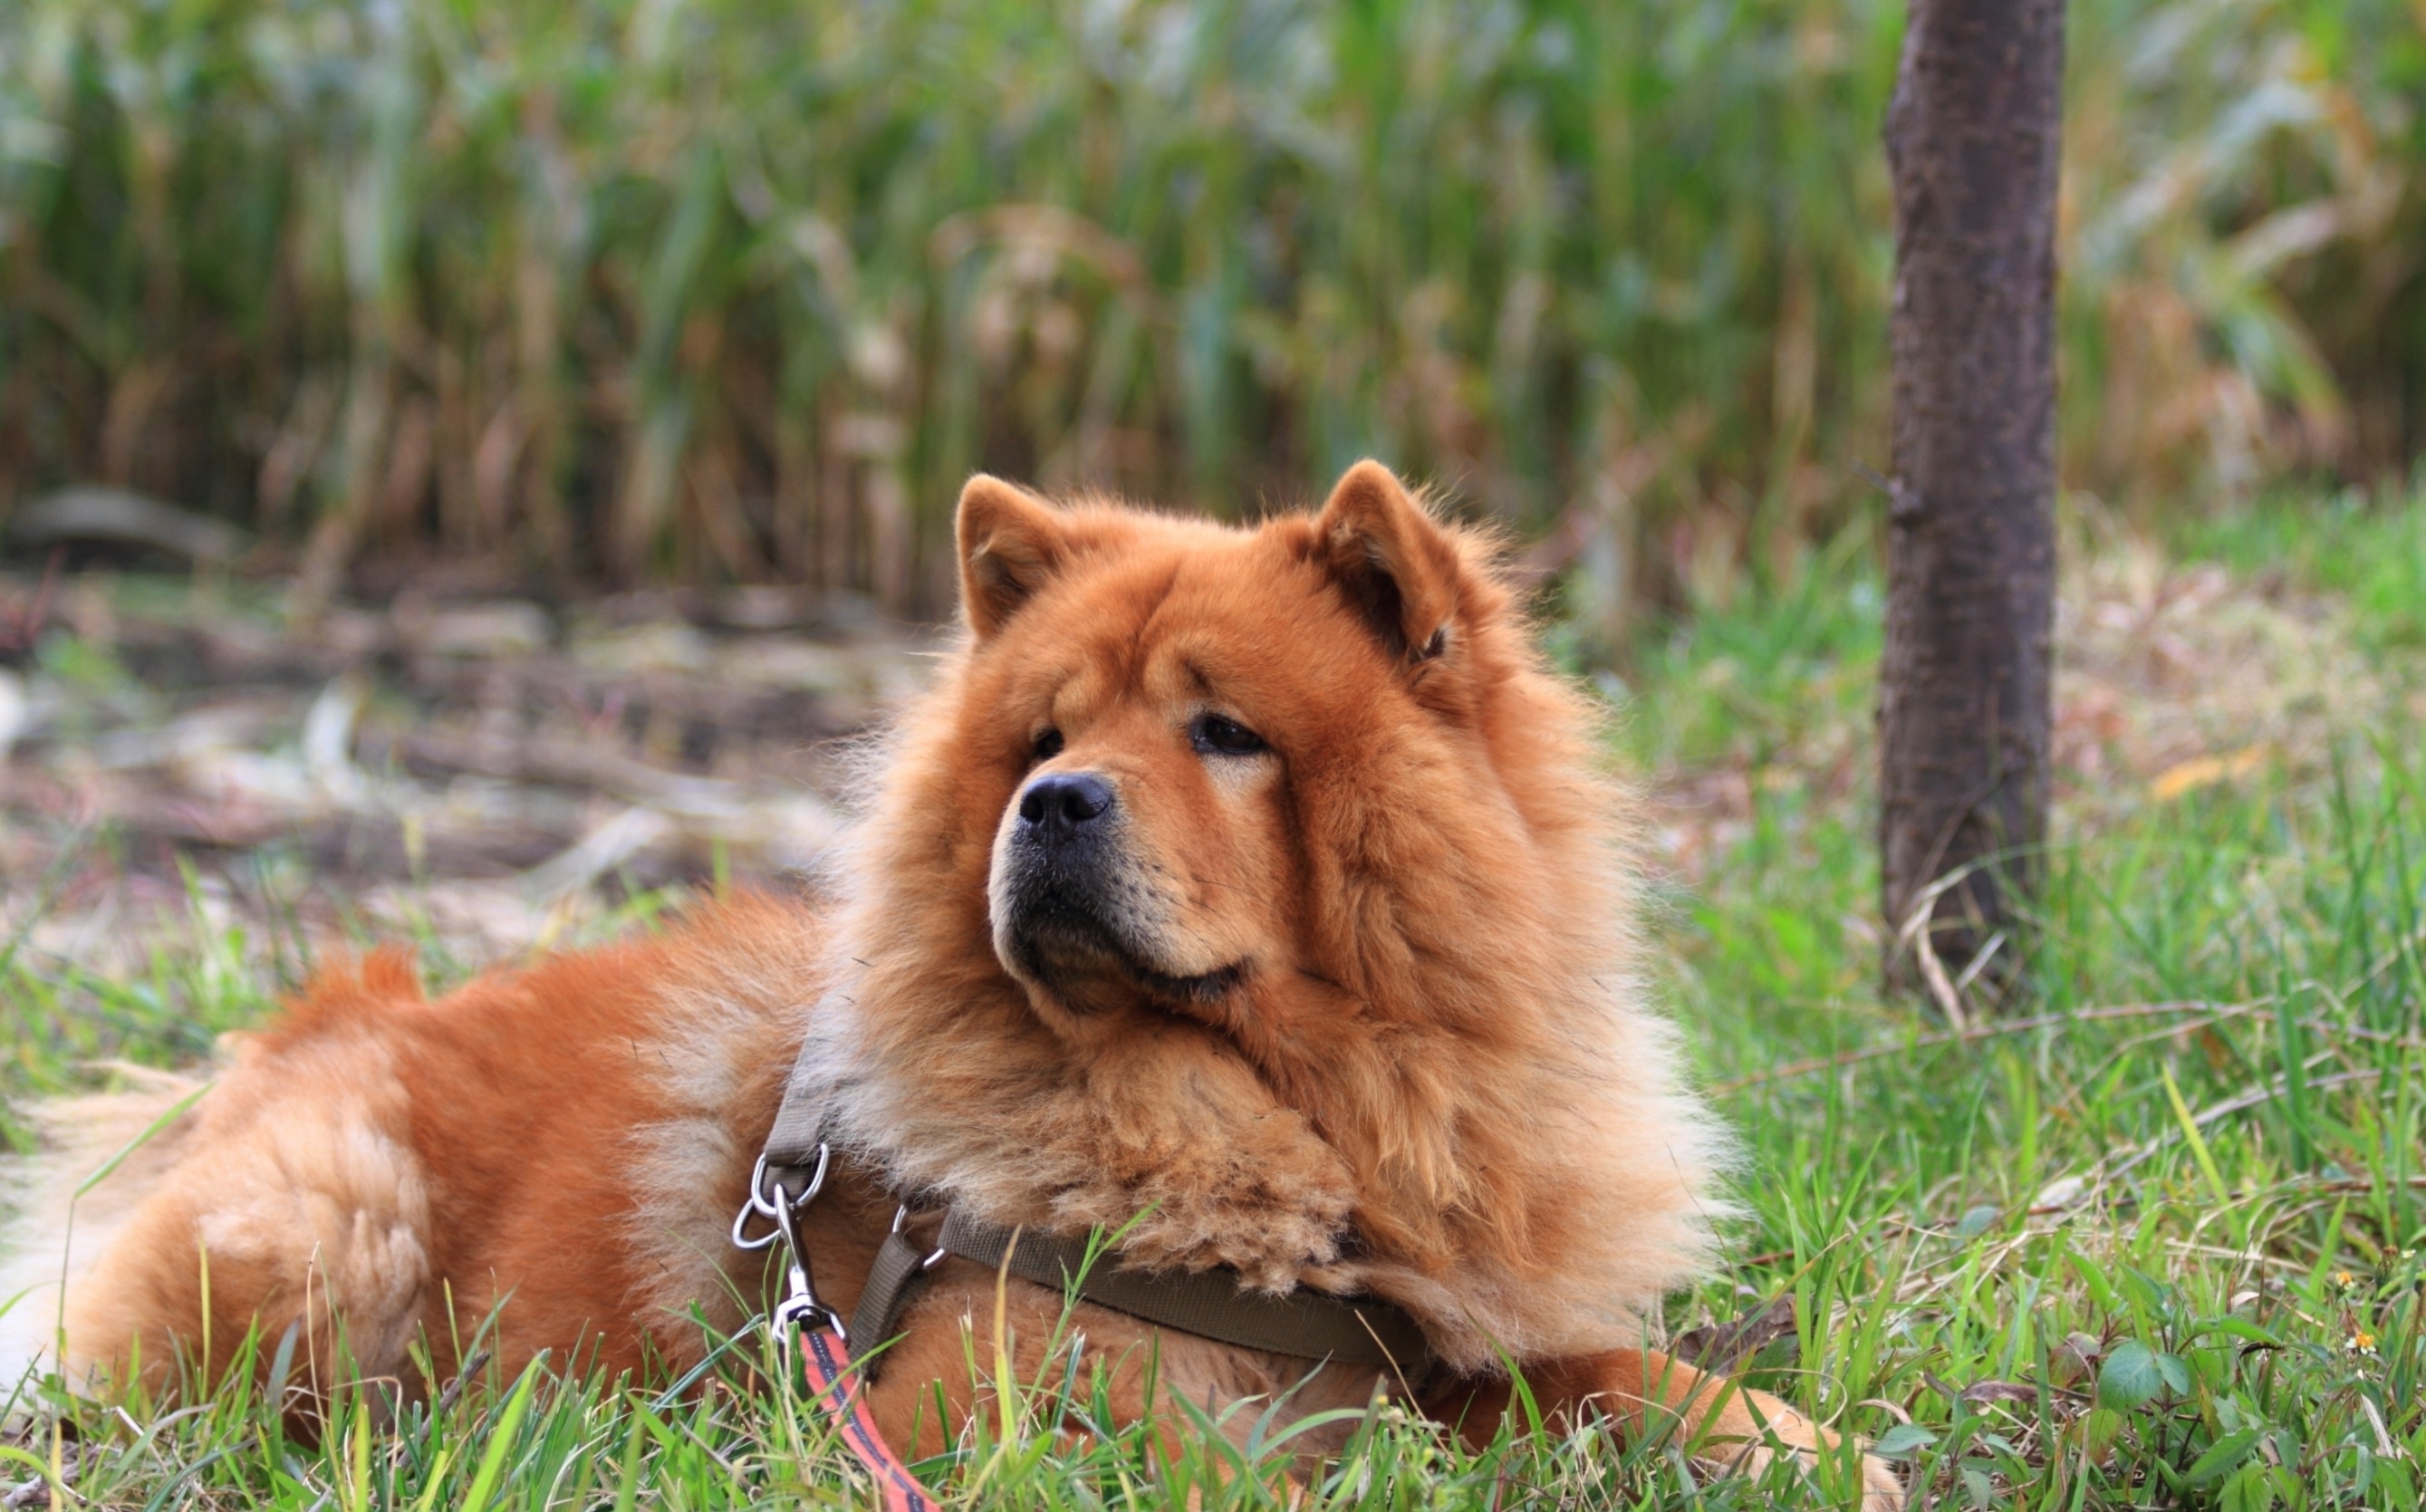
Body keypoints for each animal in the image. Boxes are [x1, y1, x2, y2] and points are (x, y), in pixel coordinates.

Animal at [0, 461, 1892, 1504]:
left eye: (1224, 731)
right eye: (1044, 737)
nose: (1052, 803)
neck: (1304, 1107)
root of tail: (328, 1013)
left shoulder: (1460, 1321)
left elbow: (1619, 1375)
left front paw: (1798, 1444)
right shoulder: (980, 1402)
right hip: (332, 1241)